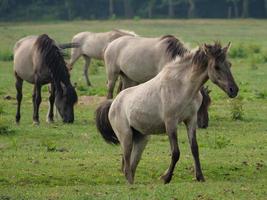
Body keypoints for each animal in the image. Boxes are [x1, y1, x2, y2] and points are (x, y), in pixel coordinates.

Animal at [96, 41, 239, 184]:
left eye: (229, 64)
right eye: (216, 67)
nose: (234, 90)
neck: (182, 86)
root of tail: (113, 103)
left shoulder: (191, 120)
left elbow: (194, 148)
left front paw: (200, 177)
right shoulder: (171, 123)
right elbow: (176, 152)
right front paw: (166, 177)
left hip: (141, 139)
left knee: (130, 165)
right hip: (126, 137)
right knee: (126, 166)